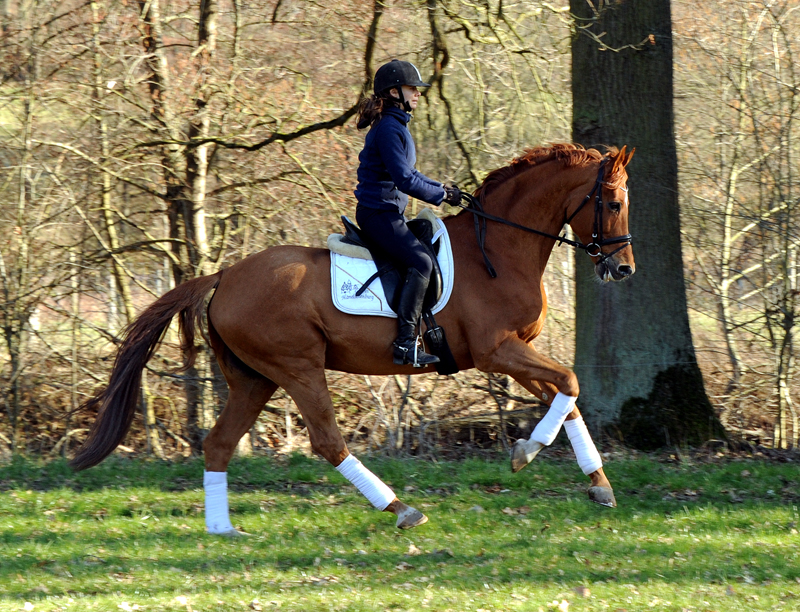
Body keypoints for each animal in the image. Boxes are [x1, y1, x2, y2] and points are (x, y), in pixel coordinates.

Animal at [73, 142, 636, 532]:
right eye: (611, 203)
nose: (623, 269)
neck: (498, 248)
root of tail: (225, 276)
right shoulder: (497, 351)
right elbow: (570, 383)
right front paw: (528, 452)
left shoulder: (516, 351)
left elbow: (566, 396)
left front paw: (596, 484)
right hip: (297, 368)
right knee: (327, 440)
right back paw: (401, 509)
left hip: (254, 380)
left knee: (219, 444)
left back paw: (222, 529)